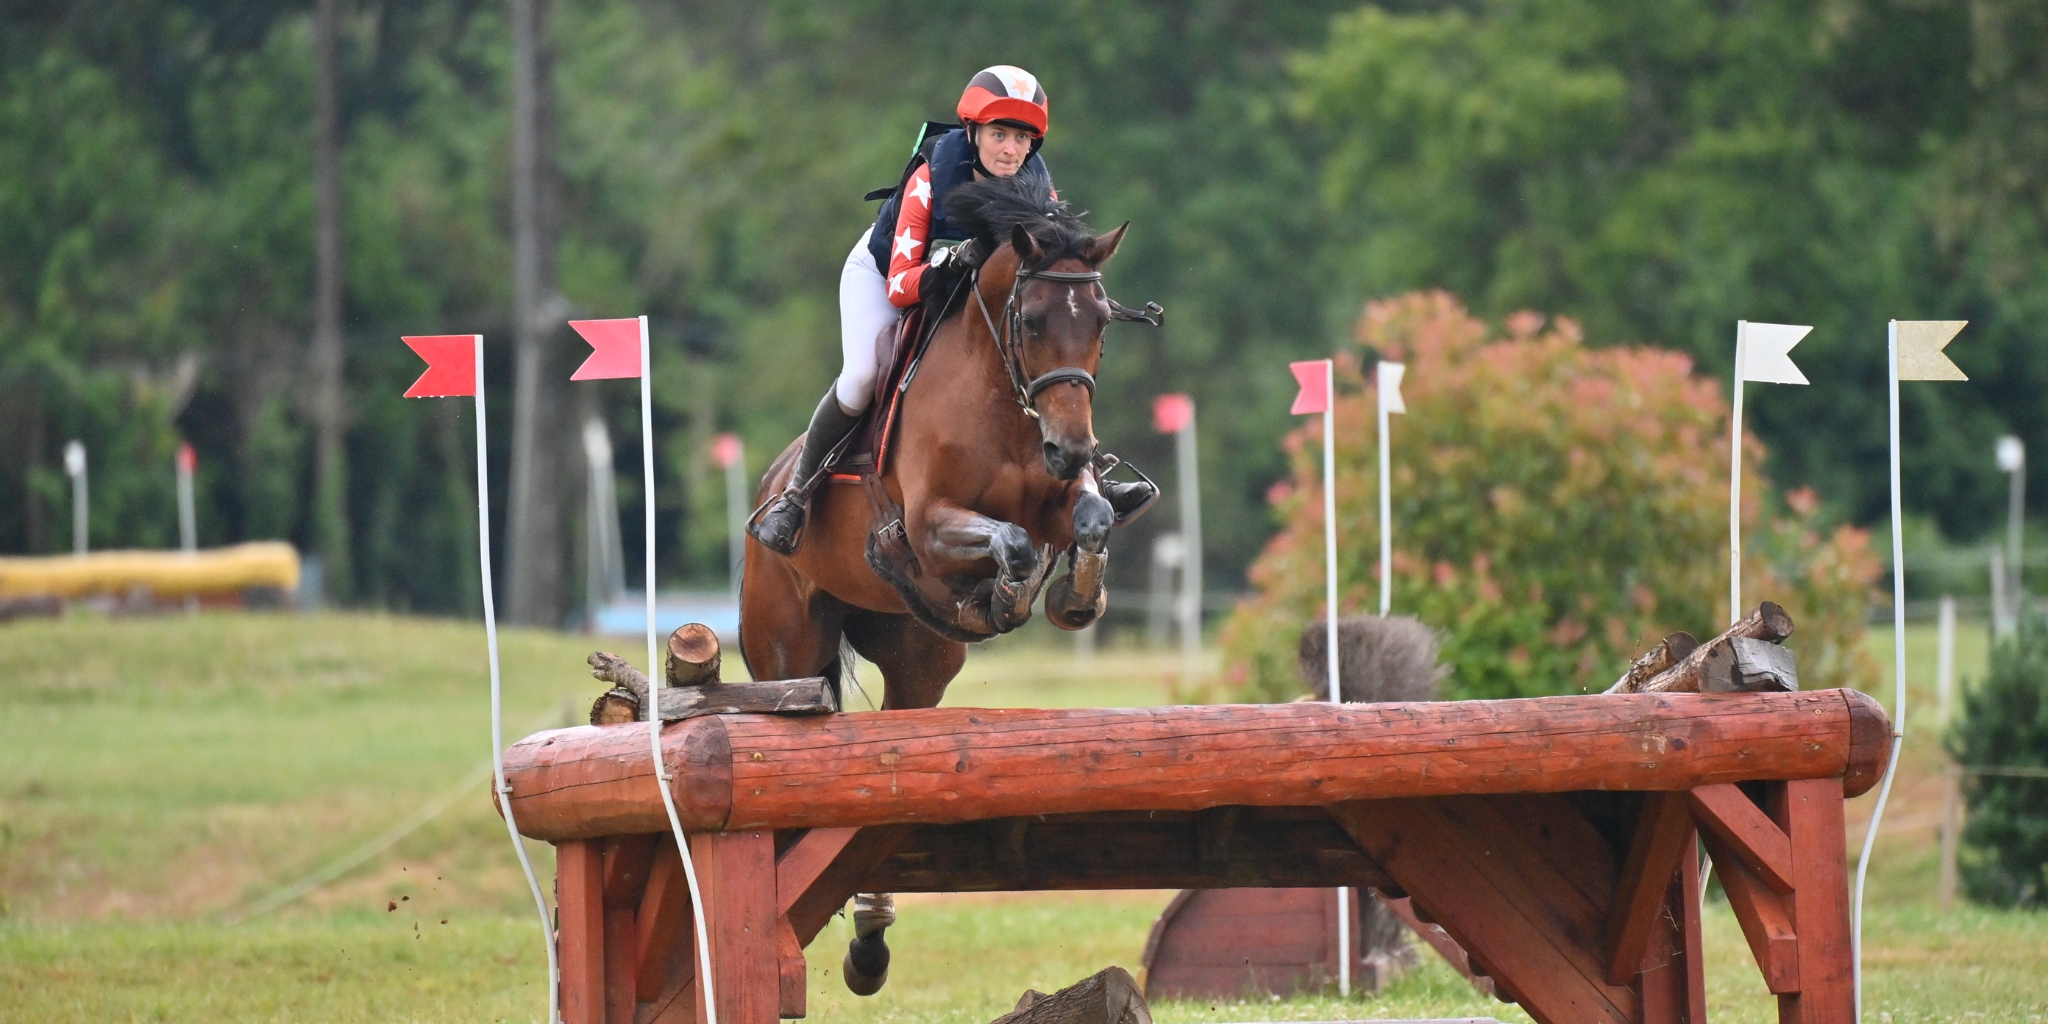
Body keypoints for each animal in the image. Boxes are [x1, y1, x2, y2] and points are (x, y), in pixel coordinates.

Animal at [737, 174, 1155, 991]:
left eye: (1101, 324)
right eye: (1030, 320)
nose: (1072, 447)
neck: (1004, 401)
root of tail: (771, 480)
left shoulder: (1064, 499)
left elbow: (1088, 520)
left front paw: (1073, 598)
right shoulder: (930, 522)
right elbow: (1014, 545)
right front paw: (1004, 598)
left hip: (919, 660)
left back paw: (870, 942)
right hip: (786, 648)